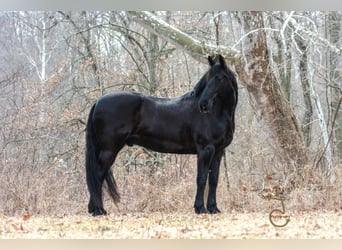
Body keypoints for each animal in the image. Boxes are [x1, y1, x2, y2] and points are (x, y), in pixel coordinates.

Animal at [86, 55, 238, 216]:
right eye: (207, 78)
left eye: (219, 78)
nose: (203, 104)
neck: (217, 113)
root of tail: (98, 102)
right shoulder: (205, 149)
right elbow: (202, 178)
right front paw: (200, 208)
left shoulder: (218, 151)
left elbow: (214, 179)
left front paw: (213, 208)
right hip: (109, 149)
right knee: (97, 175)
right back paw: (98, 210)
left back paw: (96, 209)